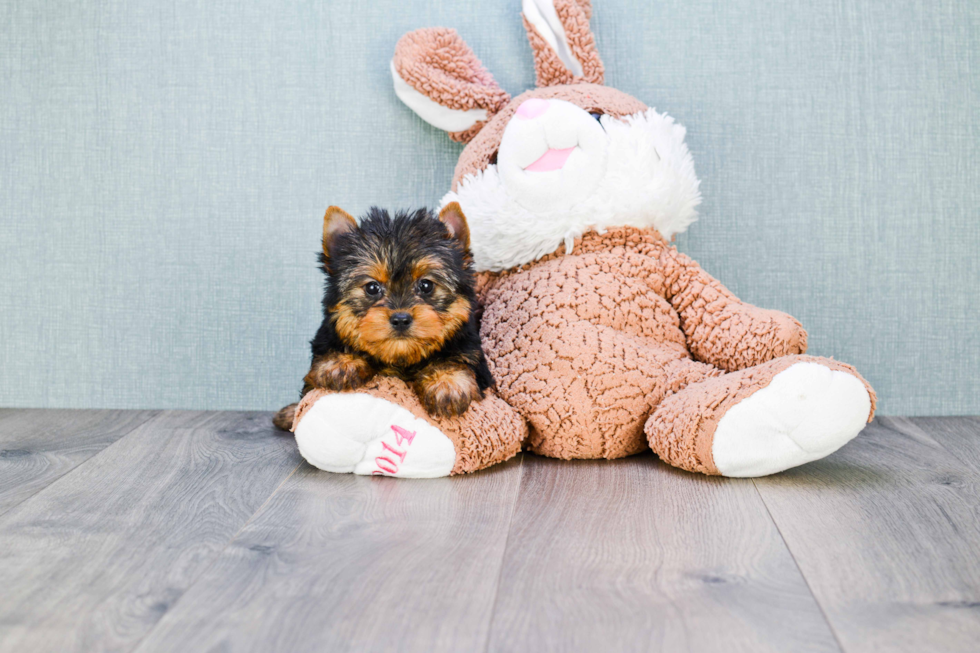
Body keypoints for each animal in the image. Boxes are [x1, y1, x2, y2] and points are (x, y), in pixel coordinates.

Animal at [272, 201, 490, 430]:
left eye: (426, 285)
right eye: (372, 288)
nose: (401, 319)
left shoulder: (472, 354)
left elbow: (456, 359)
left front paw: (446, 383)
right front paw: (342, 363)